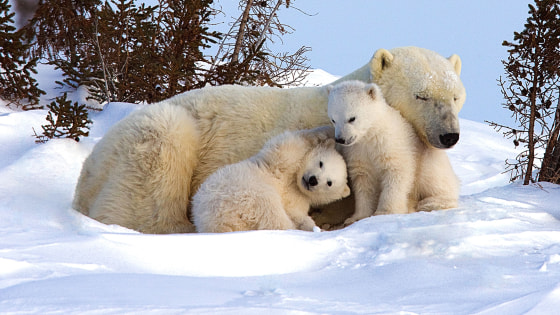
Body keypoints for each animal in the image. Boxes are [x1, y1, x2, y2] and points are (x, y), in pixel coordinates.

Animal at [192, 127, 350, 233]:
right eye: (321, 163)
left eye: (329, 183)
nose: (313, 180)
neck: (294, 183)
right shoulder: (280, 163)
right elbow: (290, 144)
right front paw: (327, 131)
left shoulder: (300, 200)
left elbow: (298, 214)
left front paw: (312, 226)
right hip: (243, 191)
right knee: (270, 211)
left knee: (273, 217)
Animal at [328, 80, 460, 226]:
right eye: (333, 119)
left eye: (352, 118)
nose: (341, 139)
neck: (371, 135)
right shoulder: (357, 152)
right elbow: (363, 182)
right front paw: (356, 217)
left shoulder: (392, 145)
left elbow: (396, 174)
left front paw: (385, 213)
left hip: (430, 162)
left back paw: (430, 203)